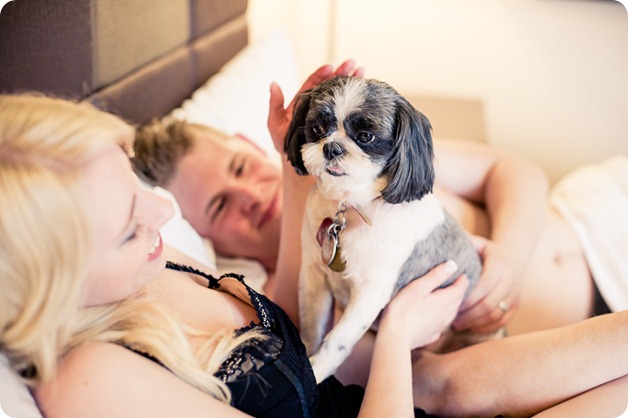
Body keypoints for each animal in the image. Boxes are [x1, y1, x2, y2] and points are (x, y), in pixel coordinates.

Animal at [284, 75, 486, 382]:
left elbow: (337, 339)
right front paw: (306, 359)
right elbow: (311, 326)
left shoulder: (370, 293)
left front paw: (316, 371)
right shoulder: (313, 274)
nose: (331, 147)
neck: (352, 205)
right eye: (317, 128)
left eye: (365, 136)